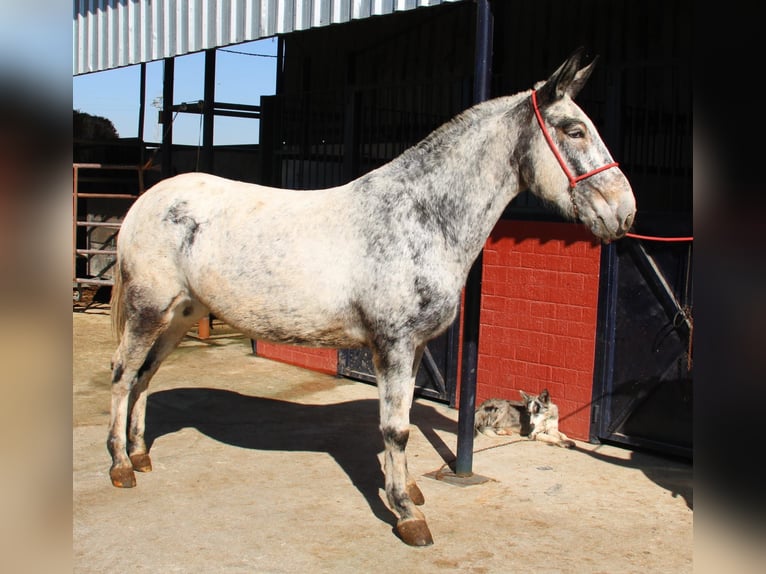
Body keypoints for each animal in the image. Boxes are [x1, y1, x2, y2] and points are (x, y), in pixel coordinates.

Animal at [106, 47, 635, 547]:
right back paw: (120, 466)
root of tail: (148, 200)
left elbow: (400, 423)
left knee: (145, 376)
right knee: (122, 375)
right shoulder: (393, 346)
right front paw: (407, 514)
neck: (419, 217)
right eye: (573, 130)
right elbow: (396, 429)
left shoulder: (415, 347)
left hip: (178, 315)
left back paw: (140, 453)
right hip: (148, 311)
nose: (624, 212)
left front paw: (407, 490)